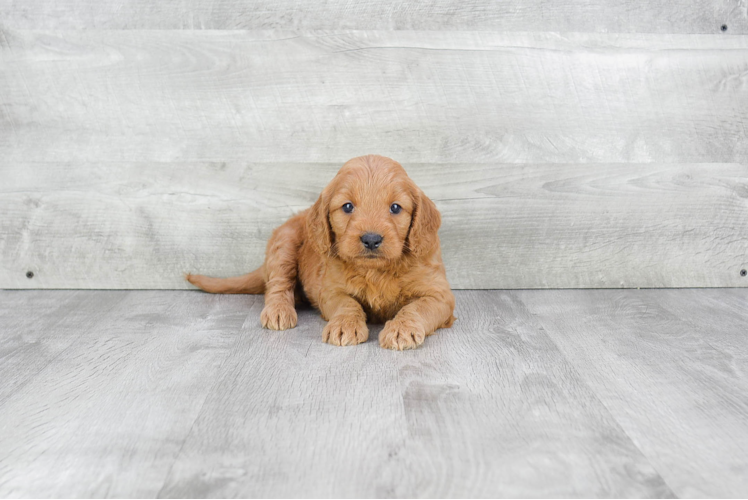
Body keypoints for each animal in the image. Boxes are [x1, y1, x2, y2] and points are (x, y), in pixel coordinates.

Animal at [187, 154, 456, 350]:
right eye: (347, 206)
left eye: (396, 208)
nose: (371, 239)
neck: (376, 270)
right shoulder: (331, 290)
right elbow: (348, 304)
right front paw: (345, 325)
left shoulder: (439, 295)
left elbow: (416, 307)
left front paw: (401, 328)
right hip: (284, 243)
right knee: (277, 285)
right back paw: (279, 311)